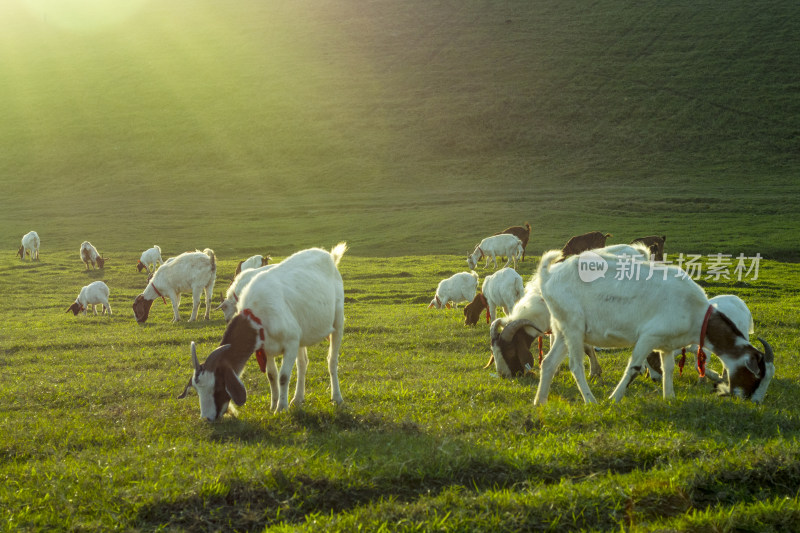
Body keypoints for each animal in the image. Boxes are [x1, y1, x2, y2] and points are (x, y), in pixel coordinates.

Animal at [178, 242, 346, 420]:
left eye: (217, 386)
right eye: (197, 390)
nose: (207, 418)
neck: (257, 316)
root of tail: (330, 257)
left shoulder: (291, 342)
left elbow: (283, 377)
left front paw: (281, 407)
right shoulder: (267, 347)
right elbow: (272, 375)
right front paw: (273, 405)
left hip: (338, 320)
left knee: (332, 360)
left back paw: (336, 398)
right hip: (301, 332)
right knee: (302, 363)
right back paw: (298, 398)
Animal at [532, 245, 776, 404]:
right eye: (757, 375)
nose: (755, 402)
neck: (695, 312)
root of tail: (549, 275)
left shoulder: (666, 343)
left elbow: (669, 369)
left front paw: (669, 397)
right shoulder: (648, 337)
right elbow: (633, 367)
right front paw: (614, 398)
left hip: (562, 328)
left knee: (549, 363)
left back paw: (540, 401)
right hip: (573, 326)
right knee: (575, 366)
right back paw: (591, 401)